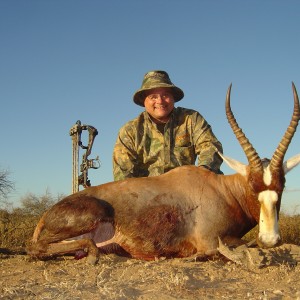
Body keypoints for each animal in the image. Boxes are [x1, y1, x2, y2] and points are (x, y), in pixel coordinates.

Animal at [27, 83, 298, 264]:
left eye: (281, 186)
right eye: (253, 186)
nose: (270, 239)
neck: (222, 189)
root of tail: (45, 217)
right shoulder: (210, 240)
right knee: (37, 248)